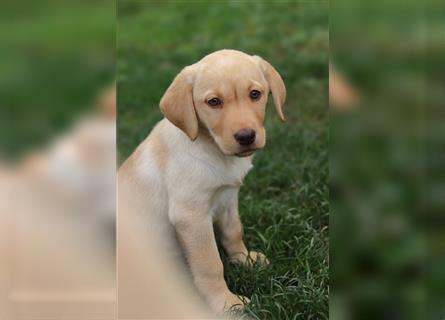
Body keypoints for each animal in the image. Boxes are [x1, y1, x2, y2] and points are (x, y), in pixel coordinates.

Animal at [117, 49, 284, 312]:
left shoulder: (228, 197)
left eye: (255, 94)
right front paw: (226, 303)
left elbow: (234, 232)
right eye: (214, 102)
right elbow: (210, 264)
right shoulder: (190, 216)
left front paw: (245, 260)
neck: (212, 148)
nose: (246, 136)